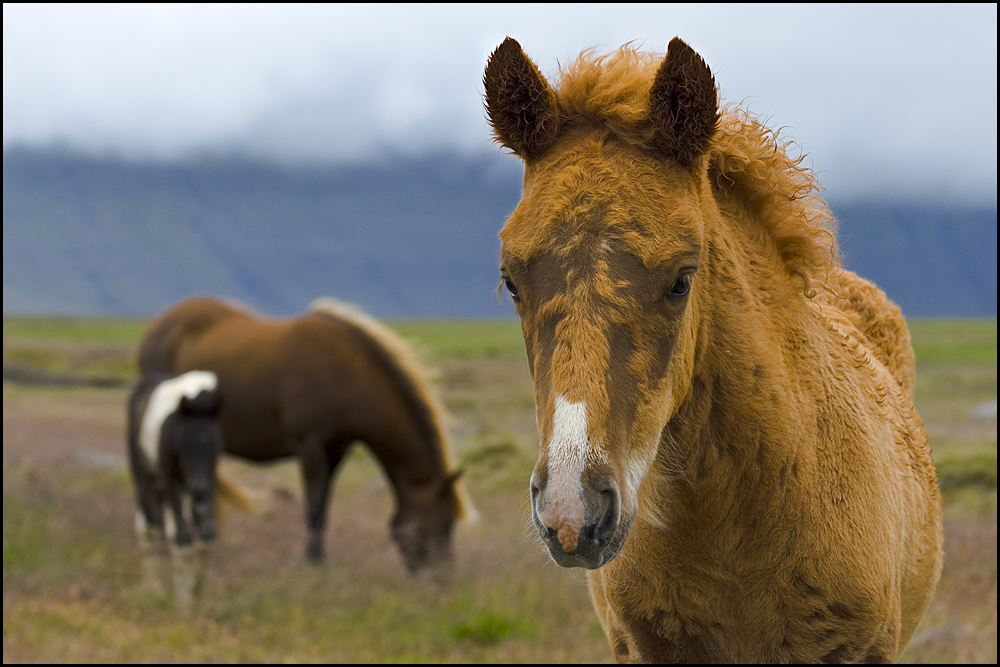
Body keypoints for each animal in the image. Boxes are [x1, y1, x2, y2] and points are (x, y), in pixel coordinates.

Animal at [127, 370, 223, 612]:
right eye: (183, 443)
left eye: (214, 445)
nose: (198, 487)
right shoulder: (171, 481)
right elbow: (182, 538)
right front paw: (183, 603)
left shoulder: (210, 479)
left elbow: (207, 537)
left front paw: (198, 592)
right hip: (144, 475)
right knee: (149, 525)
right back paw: (152, 588)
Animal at [139, 298, 474, 576]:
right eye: (444, 523)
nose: (443, 581)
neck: (346, 375)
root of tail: (159, 325)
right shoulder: (310, 448)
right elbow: (313, 510)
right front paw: (313, 565)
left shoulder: (336, 452)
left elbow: (323, 508)